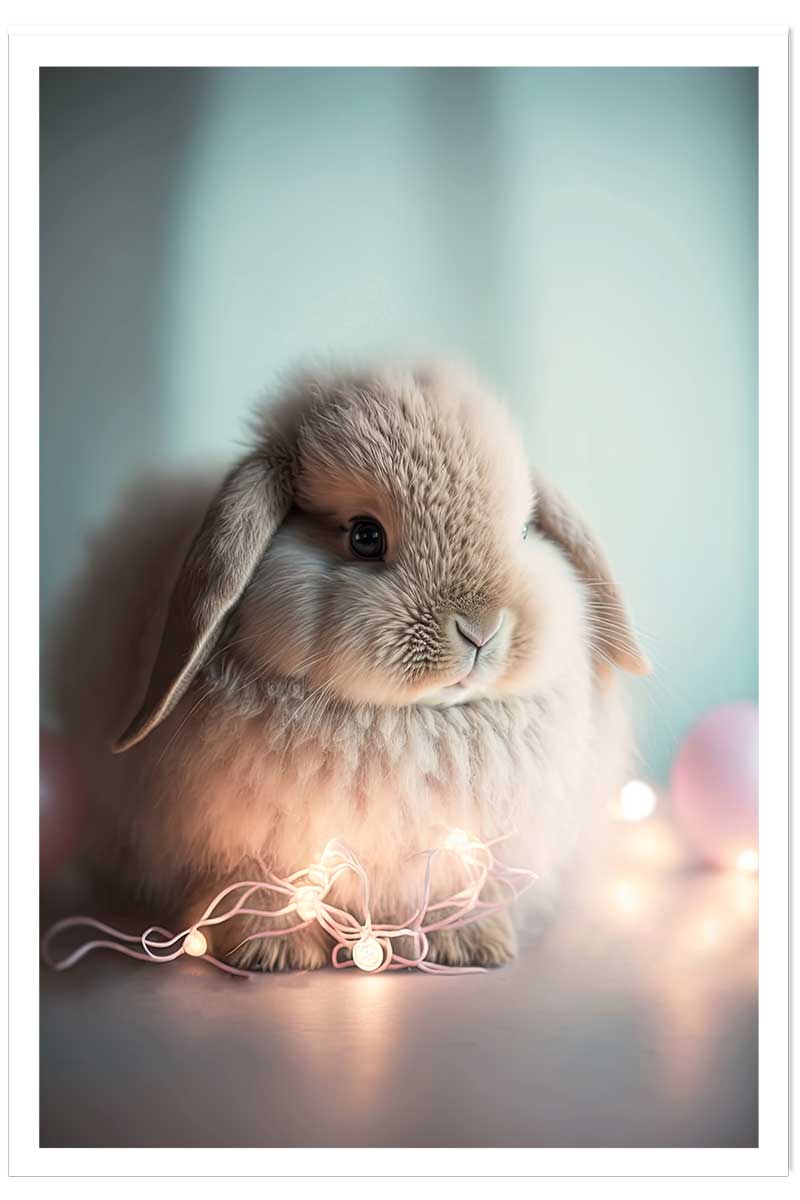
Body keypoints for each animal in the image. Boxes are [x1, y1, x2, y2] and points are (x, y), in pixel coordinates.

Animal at [46, 362, 649, 970]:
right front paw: (273, 952)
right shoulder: (249, 845)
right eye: (365, 536)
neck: (409, 722)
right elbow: (261, 886)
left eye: (524, 532)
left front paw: (469, 944)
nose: (481, 629)